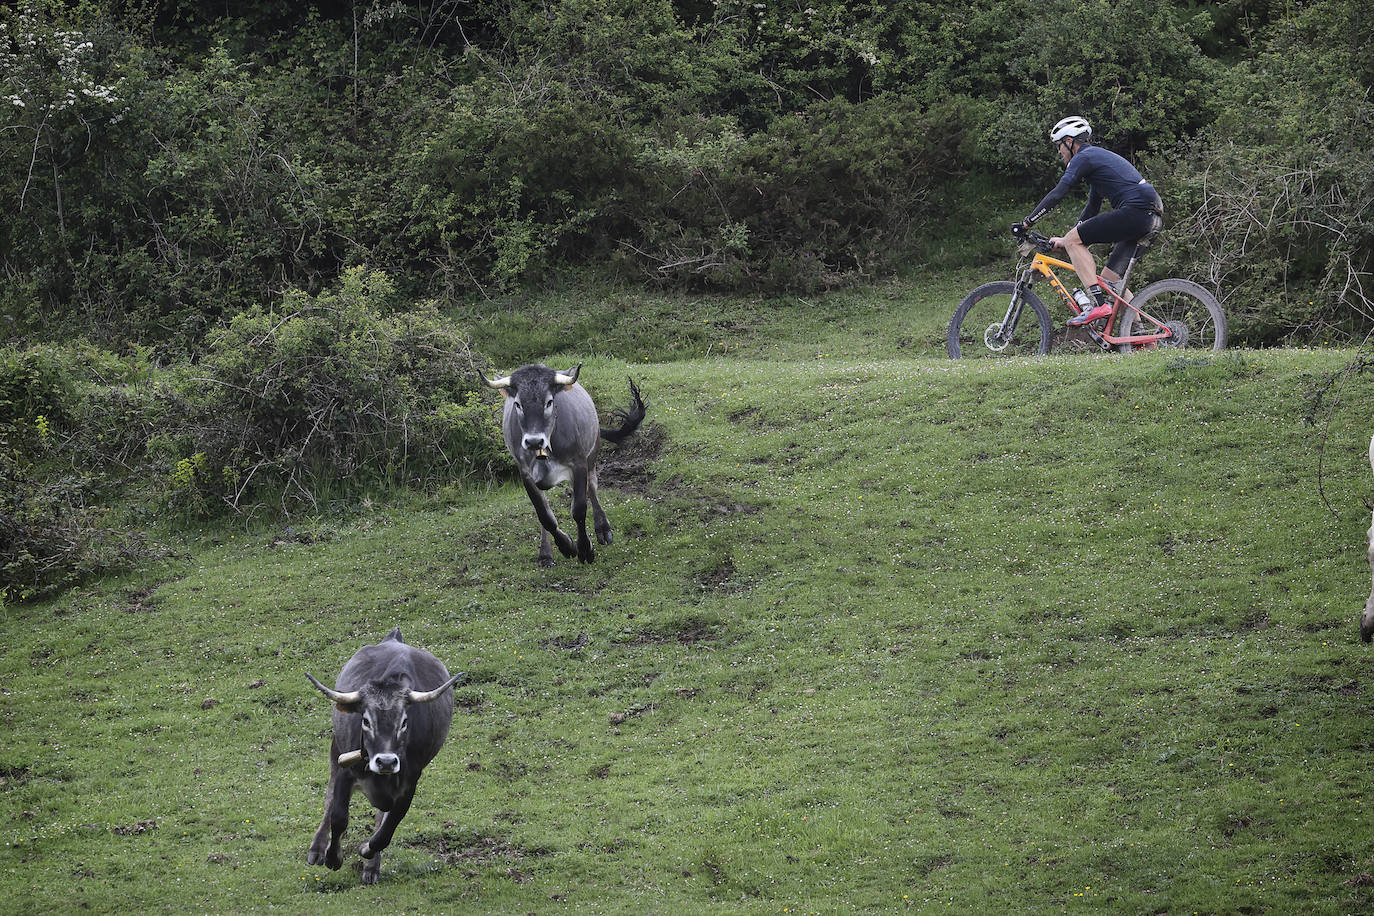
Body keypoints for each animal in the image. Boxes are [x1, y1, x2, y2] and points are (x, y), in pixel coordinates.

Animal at [305, 631, 464, 878]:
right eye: (366, 721)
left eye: (404, 722)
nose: (386, 762)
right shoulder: (346, 769)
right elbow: (338, 816)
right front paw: (333, 857)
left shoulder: (409, 783)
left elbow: (387, 828)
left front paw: (367, 850)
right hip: (335, 749)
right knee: (329, 799)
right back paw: (317, 849)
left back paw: (372, 866)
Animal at [480, 362, 645, 565]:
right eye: (517, 404)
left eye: (549, 402)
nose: (534, 441)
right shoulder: (526, 474)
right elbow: (544, 516)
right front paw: (566, 546)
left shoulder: (578, 463)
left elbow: (579, 508)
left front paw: (585, 550)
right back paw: (546, 553)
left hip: (592, 453)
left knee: (592, 487)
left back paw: (603, 528)